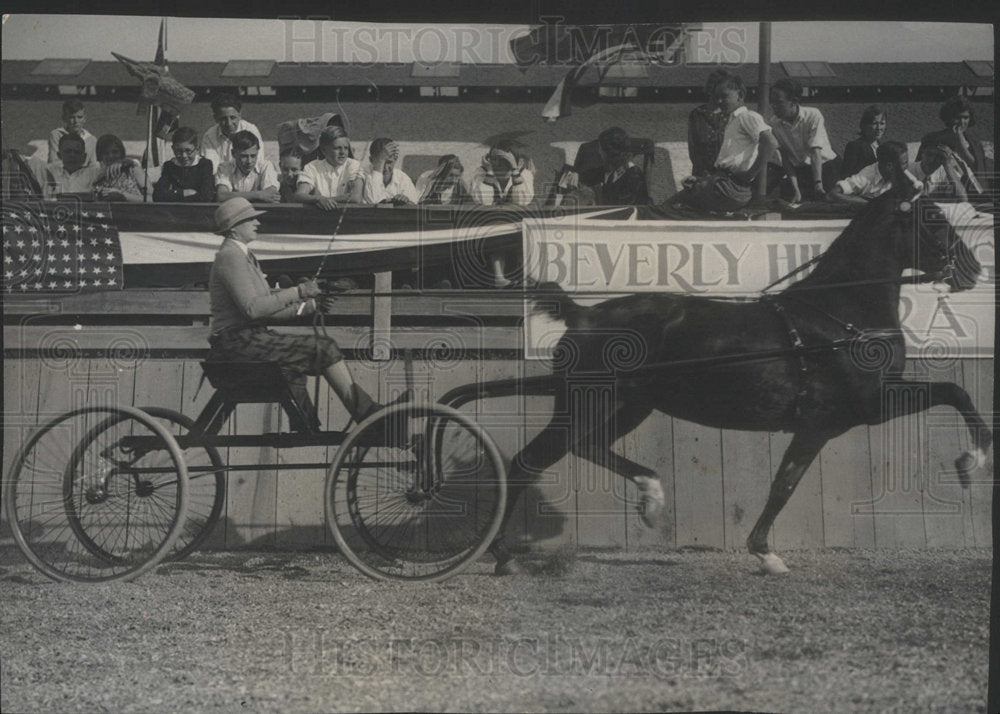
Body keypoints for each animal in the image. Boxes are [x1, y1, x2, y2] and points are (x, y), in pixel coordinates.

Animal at [488, 196, 988, 572]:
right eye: (936, 220)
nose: (974, 270)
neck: (838, 316)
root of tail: (583, 314)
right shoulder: (856, 411)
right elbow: (784, 486)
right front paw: (972, 460)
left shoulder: (840, 419)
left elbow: (785, 481)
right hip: (586, 404)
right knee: (529, 461)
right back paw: (503, 554)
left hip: (627, 406)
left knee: (582, 448)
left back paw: (648, 498)